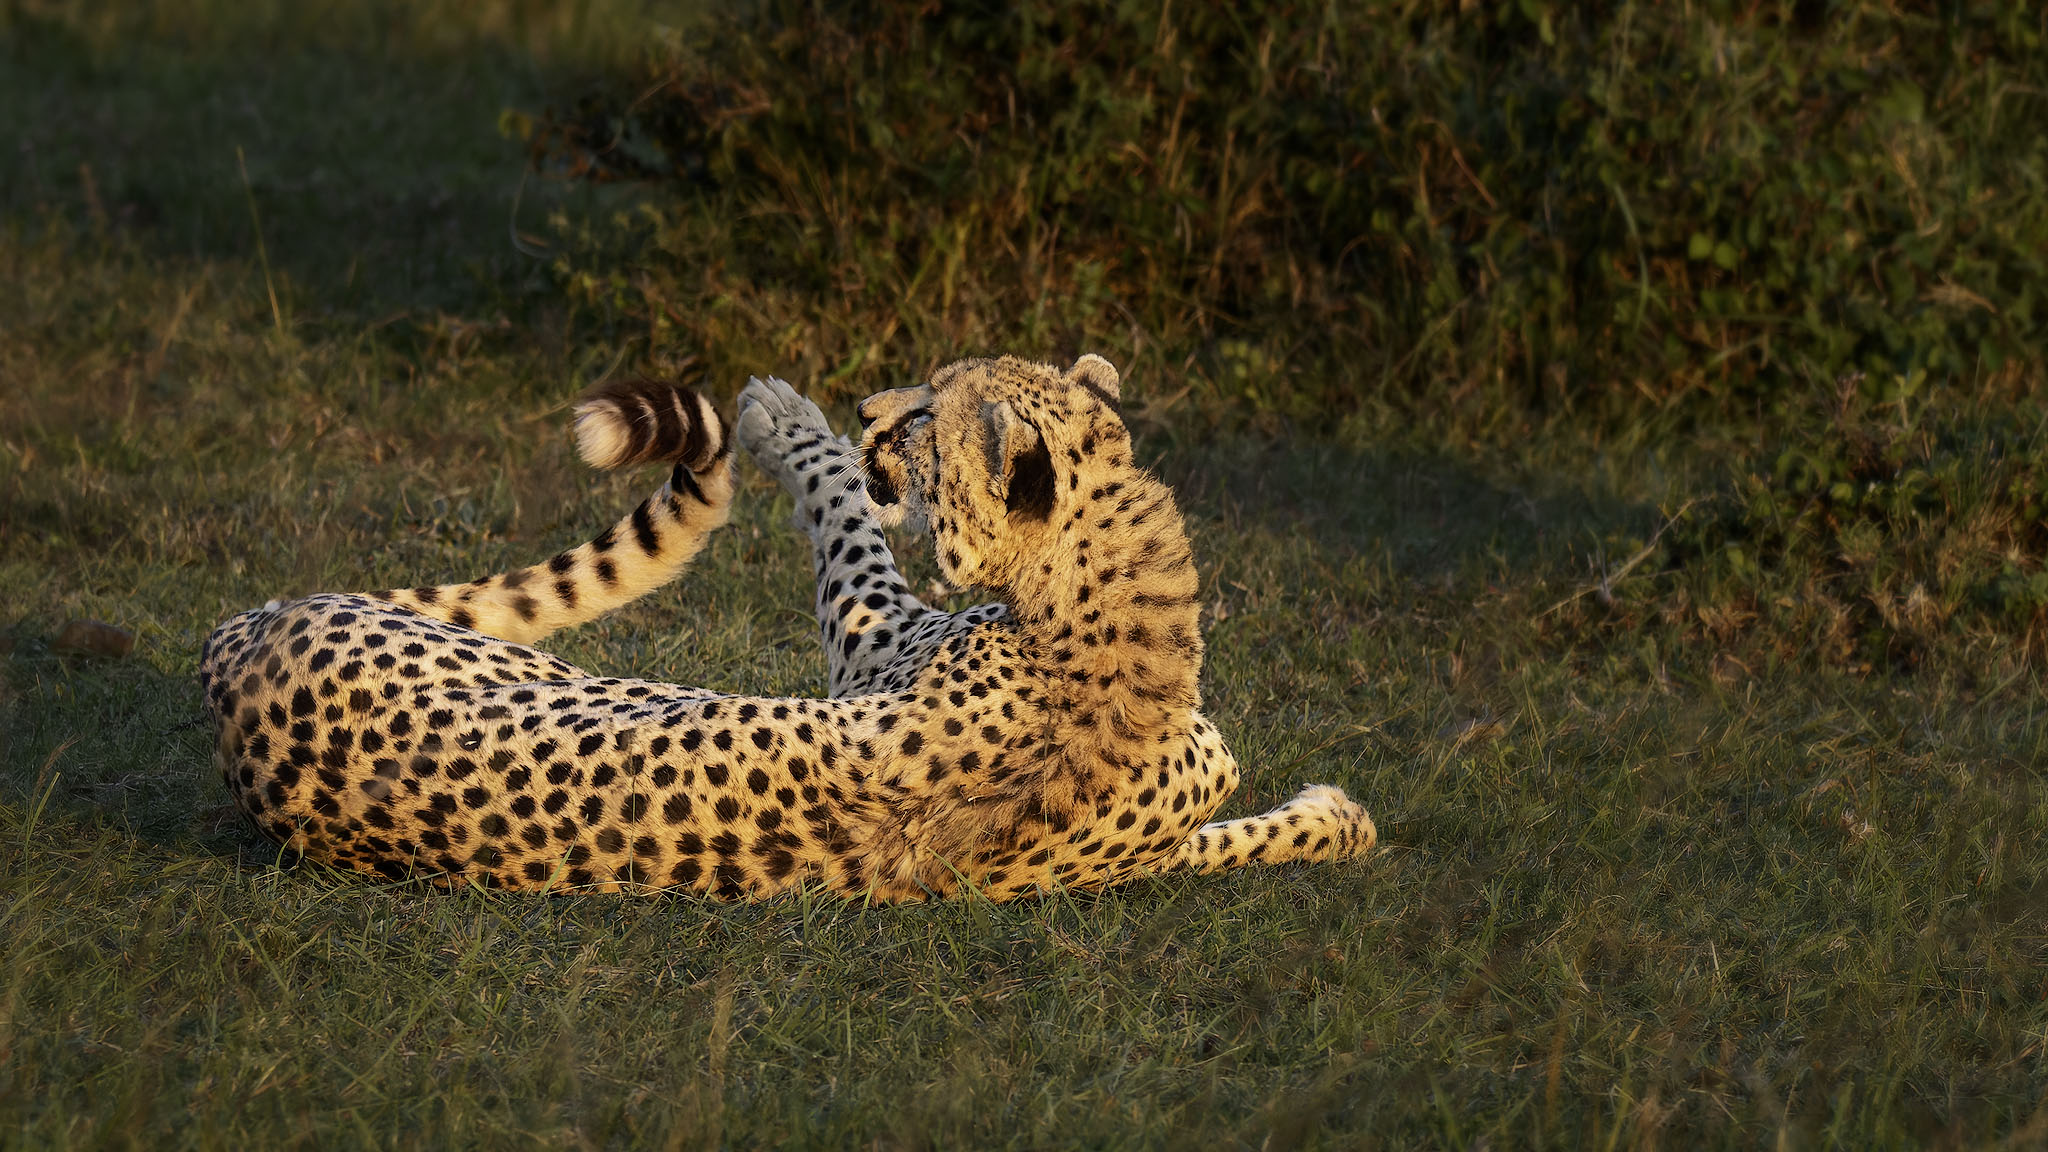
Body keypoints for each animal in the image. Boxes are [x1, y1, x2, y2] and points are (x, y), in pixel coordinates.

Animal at [198, 354, 1376, 900]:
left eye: (930, 409)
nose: (868, 408)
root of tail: (239, 658)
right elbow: (1232, 835)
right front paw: (1343, 820)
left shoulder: (875, 640)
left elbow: (850, 521)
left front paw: (787, 420)